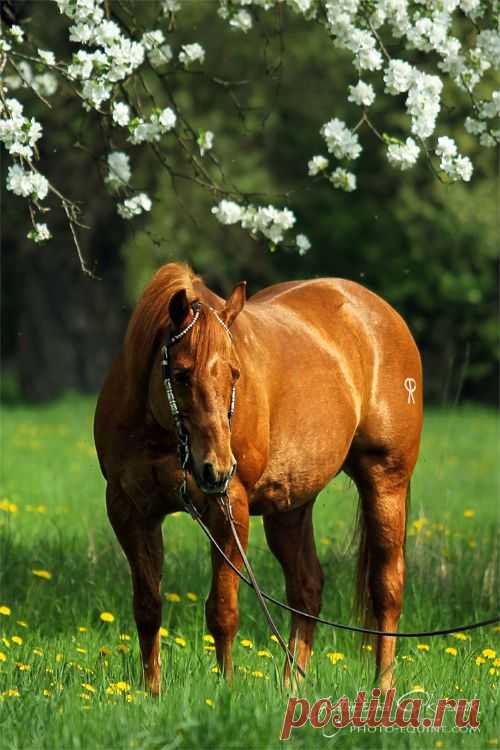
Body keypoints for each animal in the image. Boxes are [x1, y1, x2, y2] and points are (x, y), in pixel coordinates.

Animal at [93, 264, 422, 700]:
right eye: (180, 375)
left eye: (234, 373)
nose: (215, 468)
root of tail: (381, 314)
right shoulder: (129, 510)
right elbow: (147, 608)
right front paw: (152, 694)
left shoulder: (229, 507)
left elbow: (222, 610)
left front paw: (226, 690)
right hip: (290, 506)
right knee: (306, 588)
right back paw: (291, 687)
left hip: (386, 482)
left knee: (387, 587)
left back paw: (383, 686)